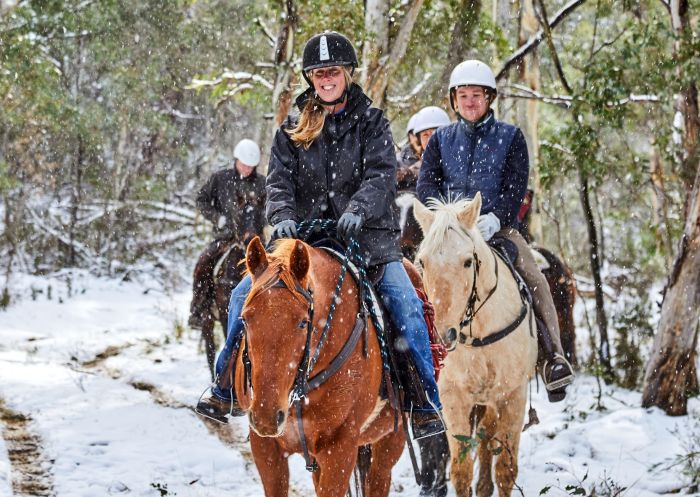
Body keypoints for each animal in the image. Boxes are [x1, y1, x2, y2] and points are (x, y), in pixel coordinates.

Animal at [234, 236, 404, 496]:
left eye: (304, 322)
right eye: (245, 318)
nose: (266, 416)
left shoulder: (340, 449)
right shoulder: (265, 446)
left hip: (391, 440)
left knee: (378, 478)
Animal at [412, 194, 540, 496]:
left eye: (468, 262)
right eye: (422, 262)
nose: (442, 335)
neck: (479, 334)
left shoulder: (512, 396)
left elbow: (506, 469)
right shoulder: (453, 398)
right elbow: (461, 471)